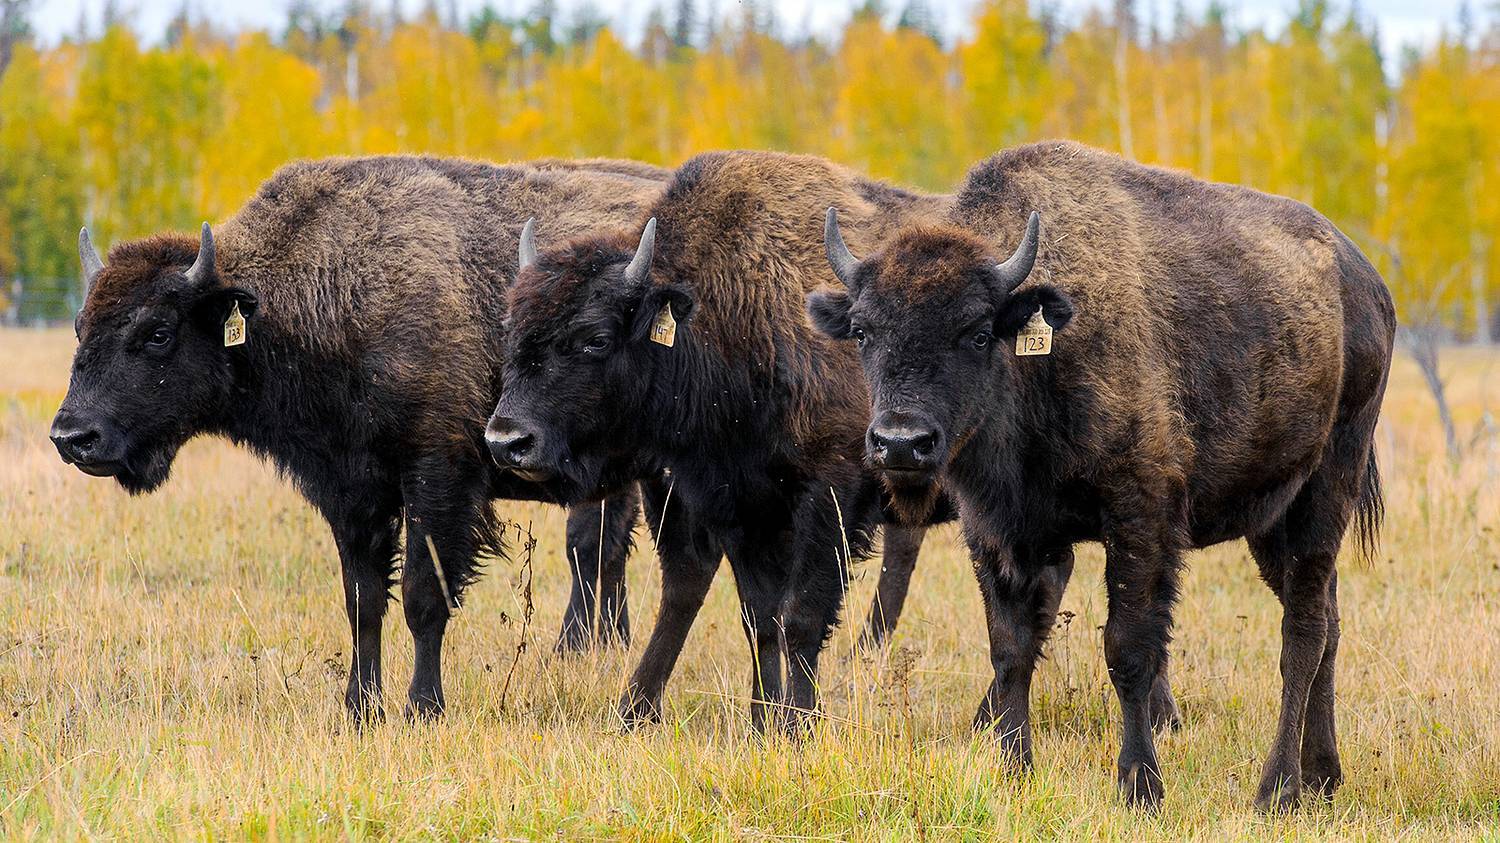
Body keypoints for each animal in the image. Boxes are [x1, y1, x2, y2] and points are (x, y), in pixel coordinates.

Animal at [51, 154, 675, 720]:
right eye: (80, 326)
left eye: (157, 332)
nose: (72, 436)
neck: (337, 288)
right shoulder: (350, 490)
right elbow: (364, 601)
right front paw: (359, 709)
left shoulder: (436, 479)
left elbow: (425, 597)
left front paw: (423, 708)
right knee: (601, 544)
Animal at [810, 141, 1392, 810]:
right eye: (862, 331)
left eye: (978, 332)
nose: (901, 443)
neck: (1043, 352)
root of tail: (1368, 284)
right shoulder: (997, 531)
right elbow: (1011, 648)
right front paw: (1014, 770)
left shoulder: (1140, 520)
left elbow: (1128, 649)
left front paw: (1140, 785)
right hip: (1272, 518)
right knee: (1328, 620)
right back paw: (1324, 777)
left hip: (1327, 489)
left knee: (1303, 631)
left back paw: (1277, 790)